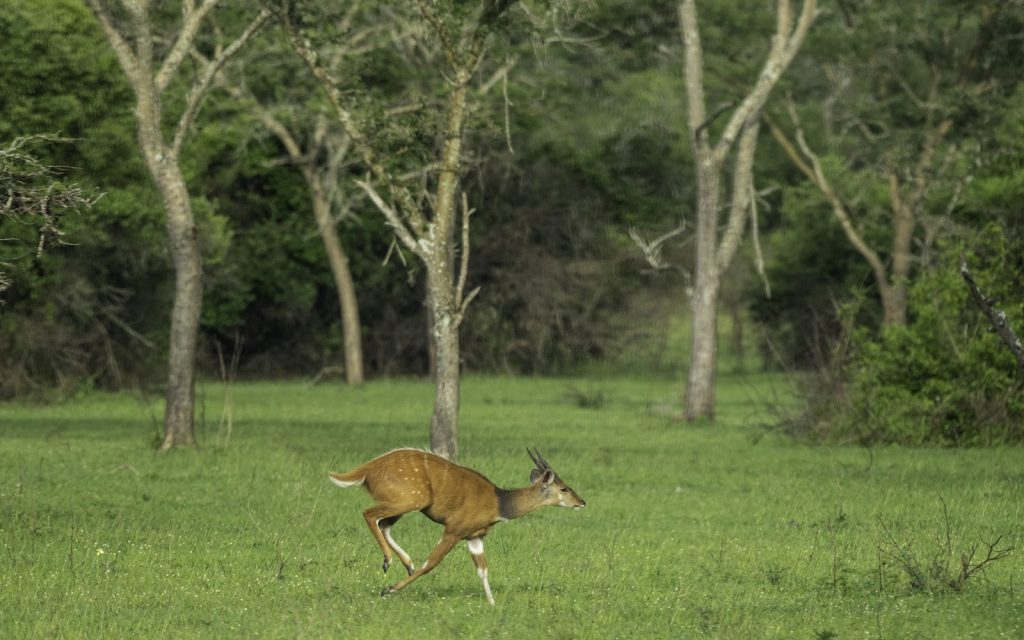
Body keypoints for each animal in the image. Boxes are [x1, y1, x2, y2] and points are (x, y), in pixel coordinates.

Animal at [327, 448, 585, 604]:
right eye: (564, 488)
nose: (582, 502)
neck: (499, 503)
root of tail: (366, 470)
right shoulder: (454, 529)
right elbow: (431, 563)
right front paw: (388, 589)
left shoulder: (474, 536)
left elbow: (483, 570)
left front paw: (492, 604)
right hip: (411, 499)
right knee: (370, 514)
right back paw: (388, 561)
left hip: (406, 503)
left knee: (384, 524)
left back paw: (405, 563)